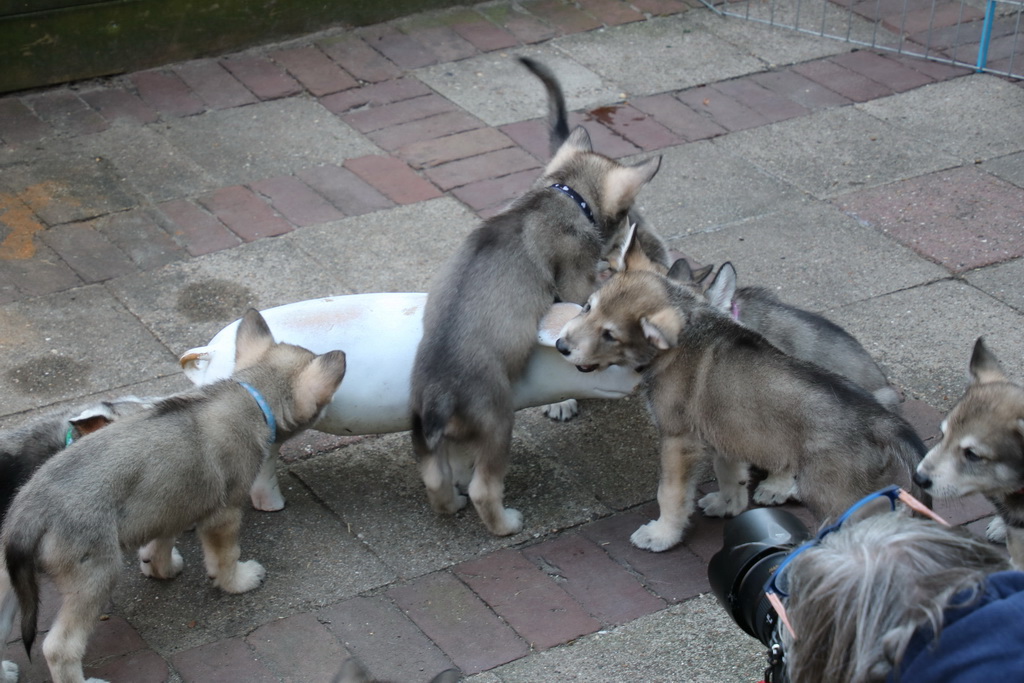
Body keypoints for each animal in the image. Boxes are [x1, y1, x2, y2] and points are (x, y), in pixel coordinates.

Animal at [410, 117, 661, 536]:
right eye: (625, 209)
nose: (633, 231)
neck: (563, 193)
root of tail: (440, 389)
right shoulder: (574, 282)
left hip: (426, 433)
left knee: (434, 478)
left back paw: (452, 504)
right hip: (498, 426)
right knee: (483, 488)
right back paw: (507, 524)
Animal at [555, 257, 927, 551]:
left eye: (610, 335)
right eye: (587, 306)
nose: (560, 346)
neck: (689, 328)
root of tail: (882, 420)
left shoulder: (679, 441)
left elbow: (670, 494)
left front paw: (662, 535)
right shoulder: (725, 431)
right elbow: (729, 474)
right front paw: (729, 505)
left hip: (833, 494)